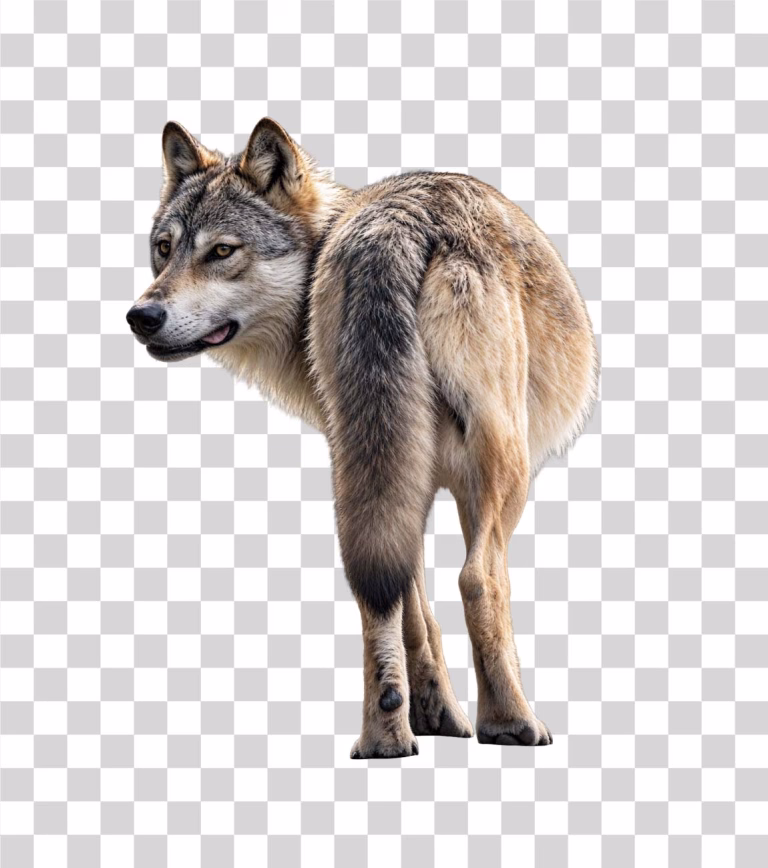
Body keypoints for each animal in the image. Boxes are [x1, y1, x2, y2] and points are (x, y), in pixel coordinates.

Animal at [127, 118, 599, 758]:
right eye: (165, 248)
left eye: (221, 251)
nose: (140, 317)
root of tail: (394, 226)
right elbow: (432, 605)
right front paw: (450, 716)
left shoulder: (403, 473)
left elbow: (412, 610)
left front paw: (434, 715)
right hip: (506, 468)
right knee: (479, 579)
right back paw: (511, 722)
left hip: (374, 462)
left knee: (374, 586)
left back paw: (383, 739)